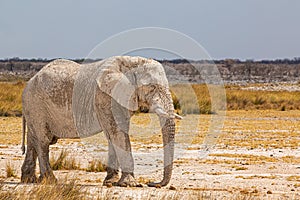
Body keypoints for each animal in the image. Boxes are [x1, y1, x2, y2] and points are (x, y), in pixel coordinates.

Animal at [21, 55, 182, 187]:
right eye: (152, 87)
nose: (152, 183)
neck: (132, 62)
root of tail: (28, 82)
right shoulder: (105, 97)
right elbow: (118, 133)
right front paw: (130, 184)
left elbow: (113, 135)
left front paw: (110, 182)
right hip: (36, 105)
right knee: (43, 141)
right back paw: (50, 181)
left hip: (33, 109)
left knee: (33, 140)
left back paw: (29, 180)